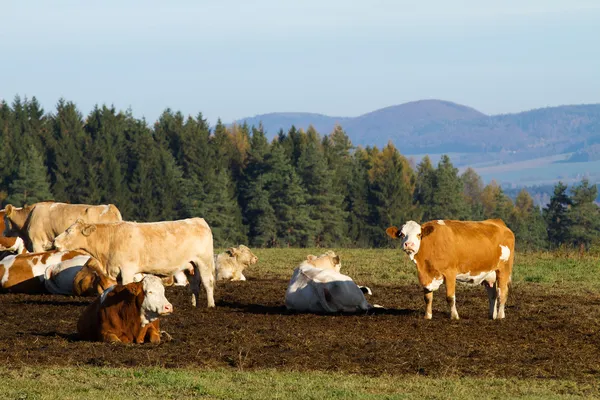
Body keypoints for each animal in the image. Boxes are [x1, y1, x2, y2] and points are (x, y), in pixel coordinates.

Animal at [52, 219, 216, 306]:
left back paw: (210, 305)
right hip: (191, 265)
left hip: (204, 262)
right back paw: (194, 304)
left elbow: (126, 286)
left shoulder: (127, 270)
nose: (54, 241)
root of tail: (198, 220)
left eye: (69, 231)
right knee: (194, 286)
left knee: (208, 283)